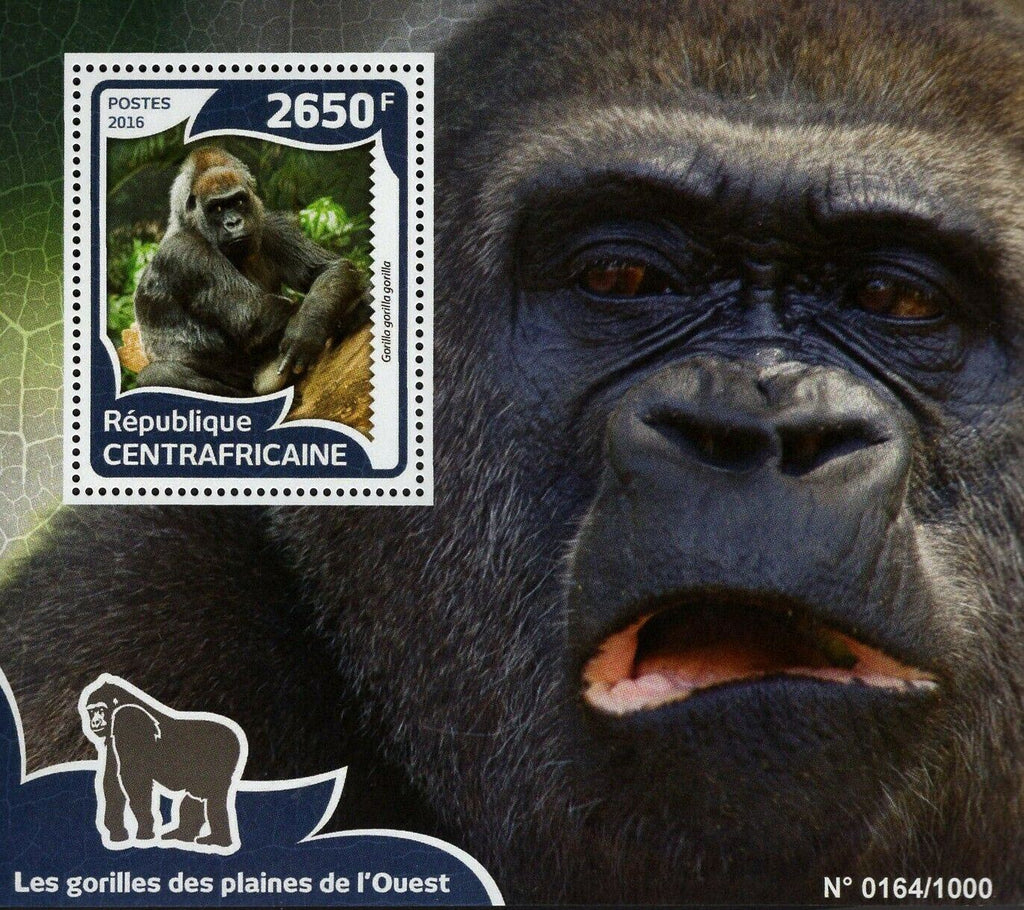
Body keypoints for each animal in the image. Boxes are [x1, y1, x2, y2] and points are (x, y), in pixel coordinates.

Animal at [132, 147, 366, 397]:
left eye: (238, 201)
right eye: (217, 208)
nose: (234, 222)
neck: (191, 224)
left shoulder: (271, 225)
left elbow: (329, 269)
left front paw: (311, 325)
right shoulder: (184, 253)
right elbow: (259, 317)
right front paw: (313, 327)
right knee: (157, 375)